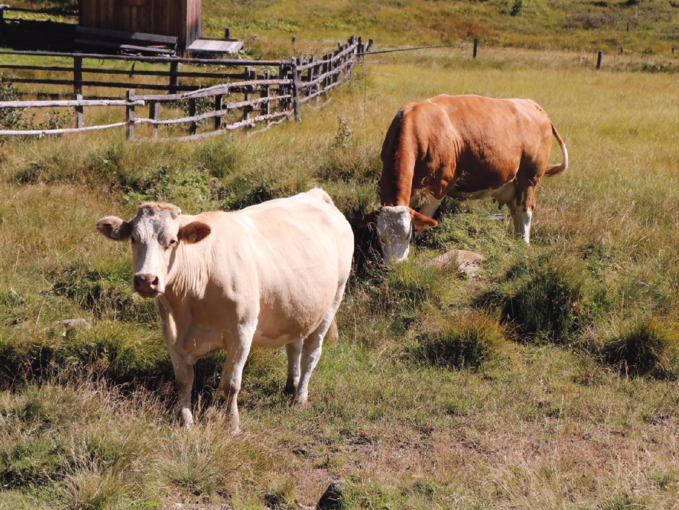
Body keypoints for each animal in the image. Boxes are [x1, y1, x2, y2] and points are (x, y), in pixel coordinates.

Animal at [362, 94, 568, 262]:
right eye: (381, 238)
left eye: (407, 235)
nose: (394, 266)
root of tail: (531, 104)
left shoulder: (440, 186)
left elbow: (425, 219)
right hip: (513, 182)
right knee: (516, 210)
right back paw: (516, 241)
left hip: (530, 177)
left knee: (526, 210)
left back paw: (523, 245)